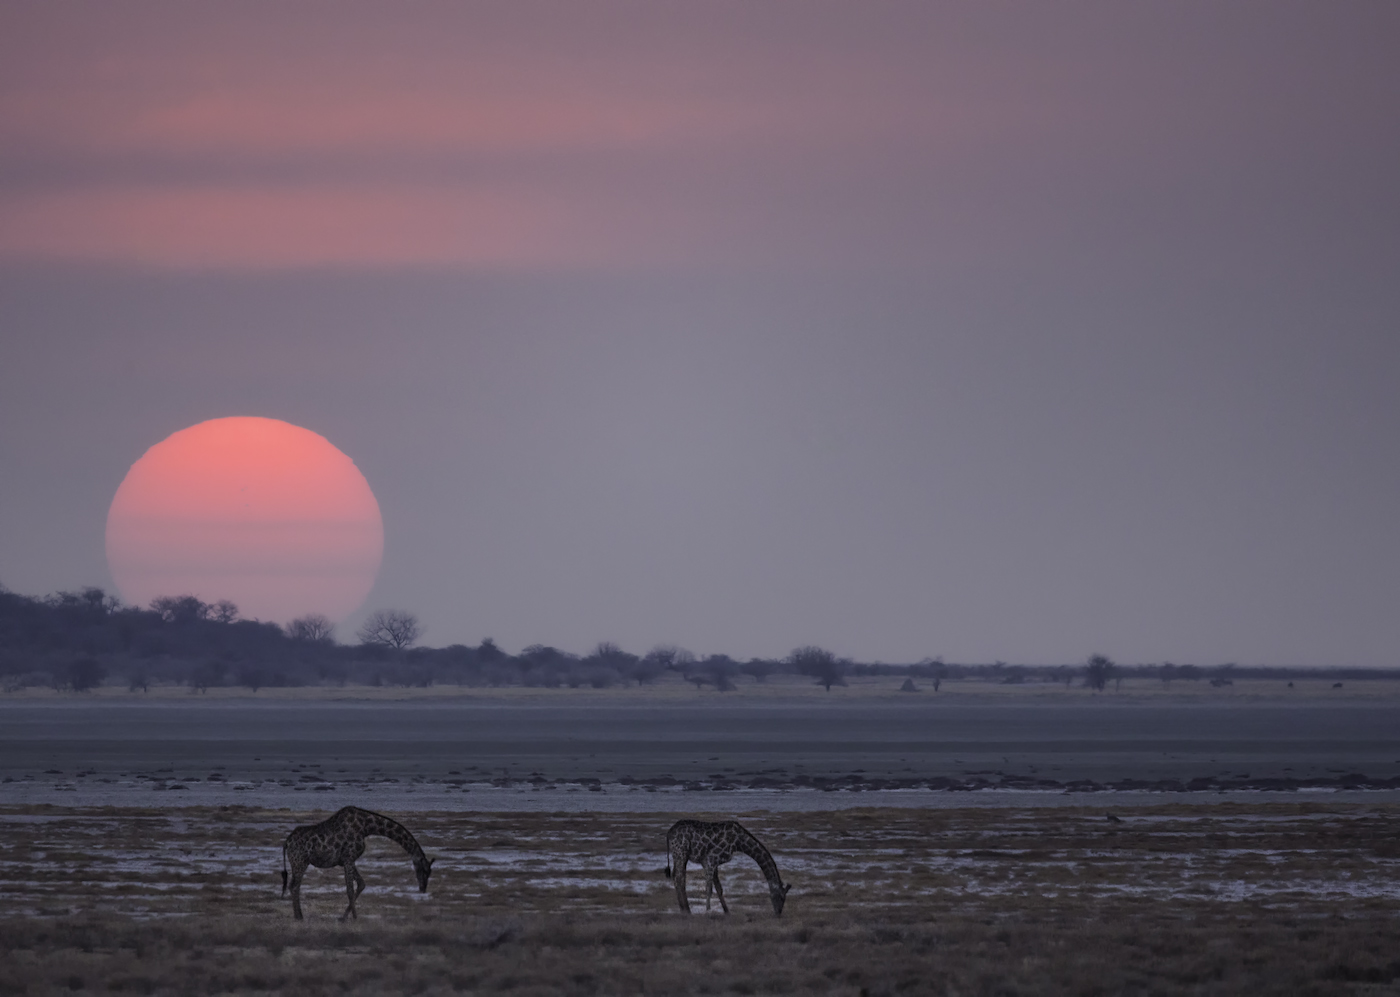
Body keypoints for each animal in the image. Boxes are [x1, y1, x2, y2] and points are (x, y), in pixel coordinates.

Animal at [280, 806, 434, 920]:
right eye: (423, 871)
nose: (423, 888)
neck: (367, 827)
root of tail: (287, 842)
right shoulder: (349, 857)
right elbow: (350, 889)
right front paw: (353, 917)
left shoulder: (347, 860)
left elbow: (361, 884)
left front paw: (344, 917)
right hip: (300, 862)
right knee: (294, 886)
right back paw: (299, 916)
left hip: (299, 862)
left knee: (292, 885)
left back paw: (298, 915)